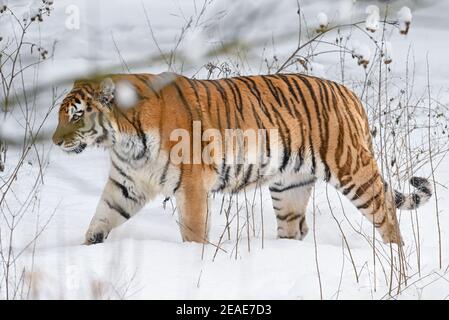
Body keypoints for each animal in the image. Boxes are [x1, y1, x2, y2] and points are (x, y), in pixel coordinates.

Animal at [51, 72, 430, 245]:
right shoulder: (125, 185)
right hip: (289, 186)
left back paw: (395, 259)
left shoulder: (191, 186)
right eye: (60, 115)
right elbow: (100, 220)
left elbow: (193, 230)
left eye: (76, 116)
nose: (55, 142)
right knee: (294, 226)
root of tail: (349, 92)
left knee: (385, 209)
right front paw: (86, 250)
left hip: (351, 168)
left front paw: (194, 260)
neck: (123, 140)